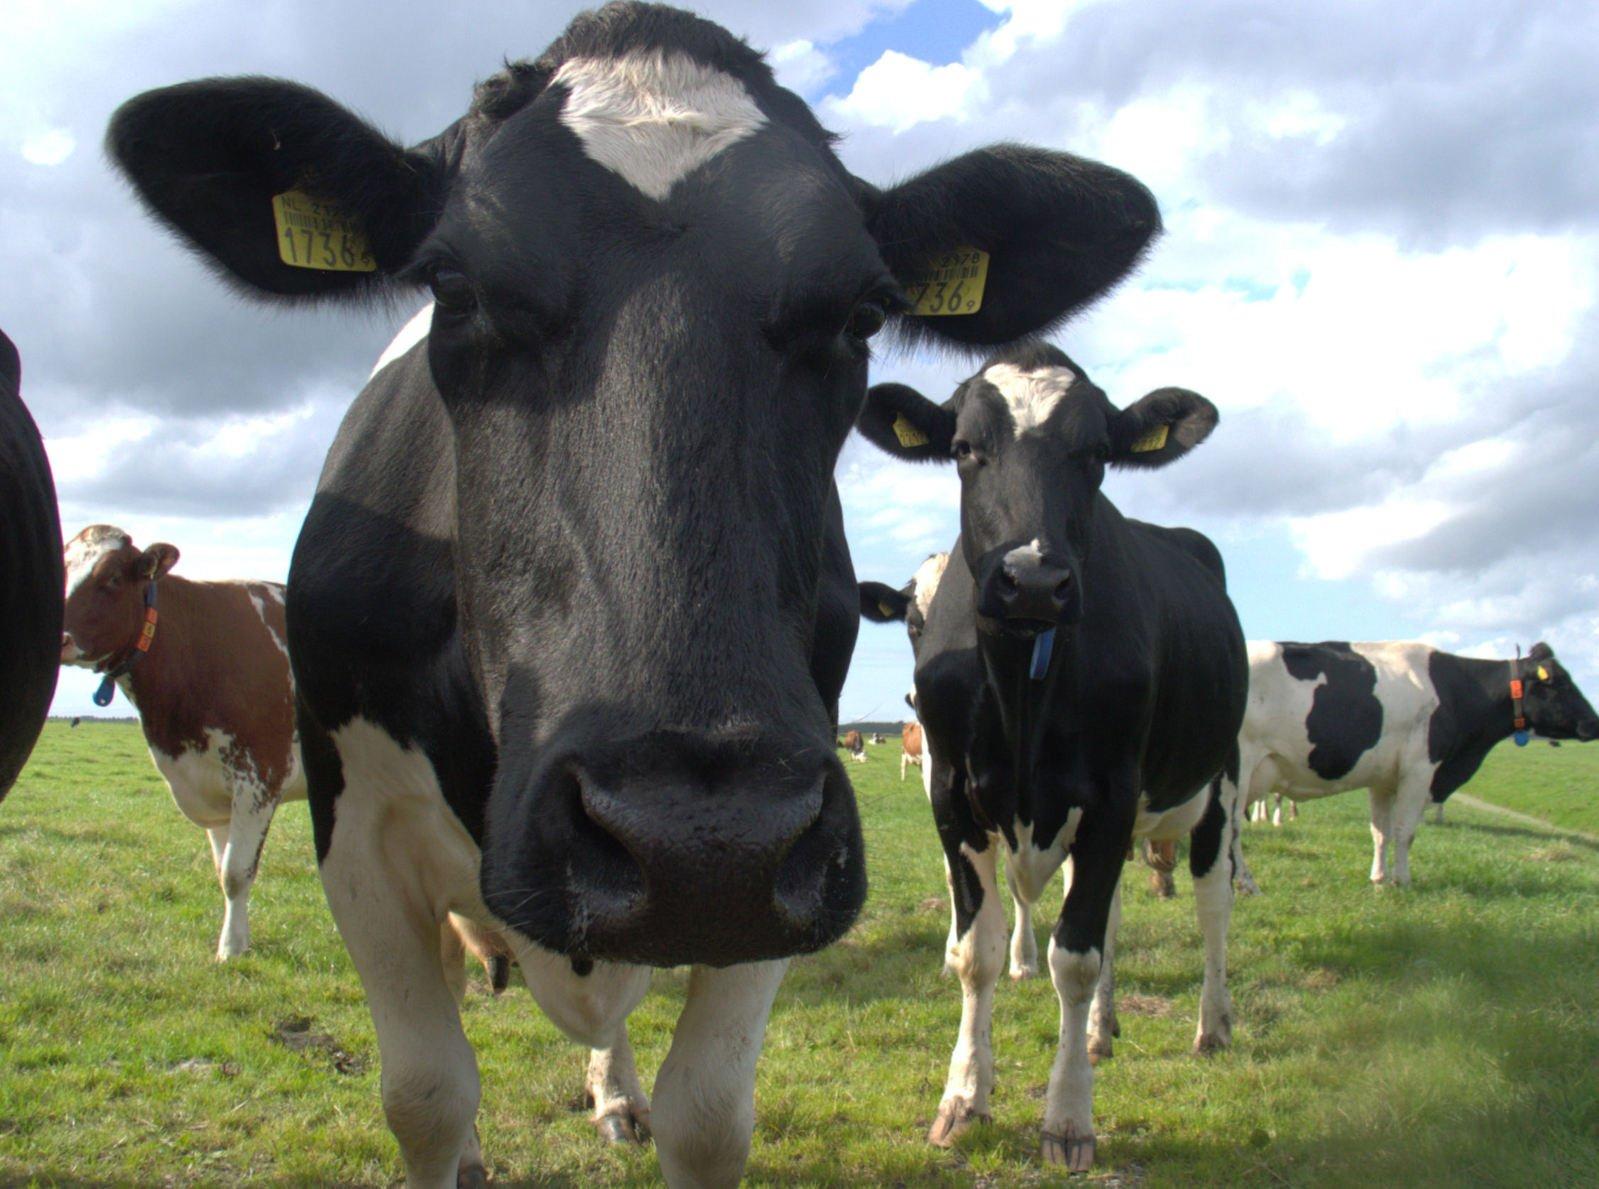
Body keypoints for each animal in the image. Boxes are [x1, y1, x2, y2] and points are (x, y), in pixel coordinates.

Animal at [107, 4, 1164, 1182]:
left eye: (862, 312)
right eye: (451, 287)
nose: (696, 845)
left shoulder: (787, 861)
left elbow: (709, 1114)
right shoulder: (356, 831)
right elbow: (426, 1094)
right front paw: (456, 1139)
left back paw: (613, 1091)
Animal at [857, 341, 1246, 1171]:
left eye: (1095, 453)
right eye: (963, 447)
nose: (1032, 578)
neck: (1021, 691)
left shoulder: (1108, 794)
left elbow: (1075, 954)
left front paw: (1068, 1119)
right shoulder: (952, 792)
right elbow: (979, 950)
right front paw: (964, 1096)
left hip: (1218, 786)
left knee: (1211, 907)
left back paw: (1212, 1022)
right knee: (1112, 915)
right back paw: (1100, 1029)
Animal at [1229, 640, 1599, 889]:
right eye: (1559, 682)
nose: (1594, 722)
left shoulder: (1382, 779)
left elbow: (1380, 831)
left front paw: (1379, 877)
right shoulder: (1420, 770)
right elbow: (1405, 831)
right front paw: (1402, 880)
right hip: (1240, 772)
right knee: (1232, 832)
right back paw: (1245, 883)